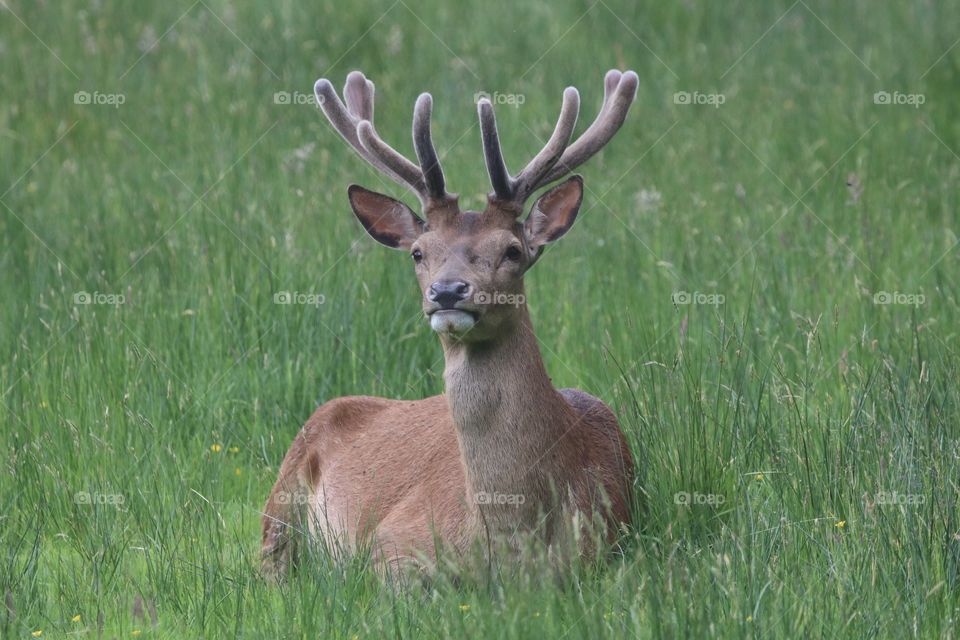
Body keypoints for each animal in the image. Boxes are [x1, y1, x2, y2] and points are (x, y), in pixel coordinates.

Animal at [261, 69, 638, 580]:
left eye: (512, 251)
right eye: (419, 253)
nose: (446, 292)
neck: (511, 538)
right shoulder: (393, 541)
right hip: (281, 496)